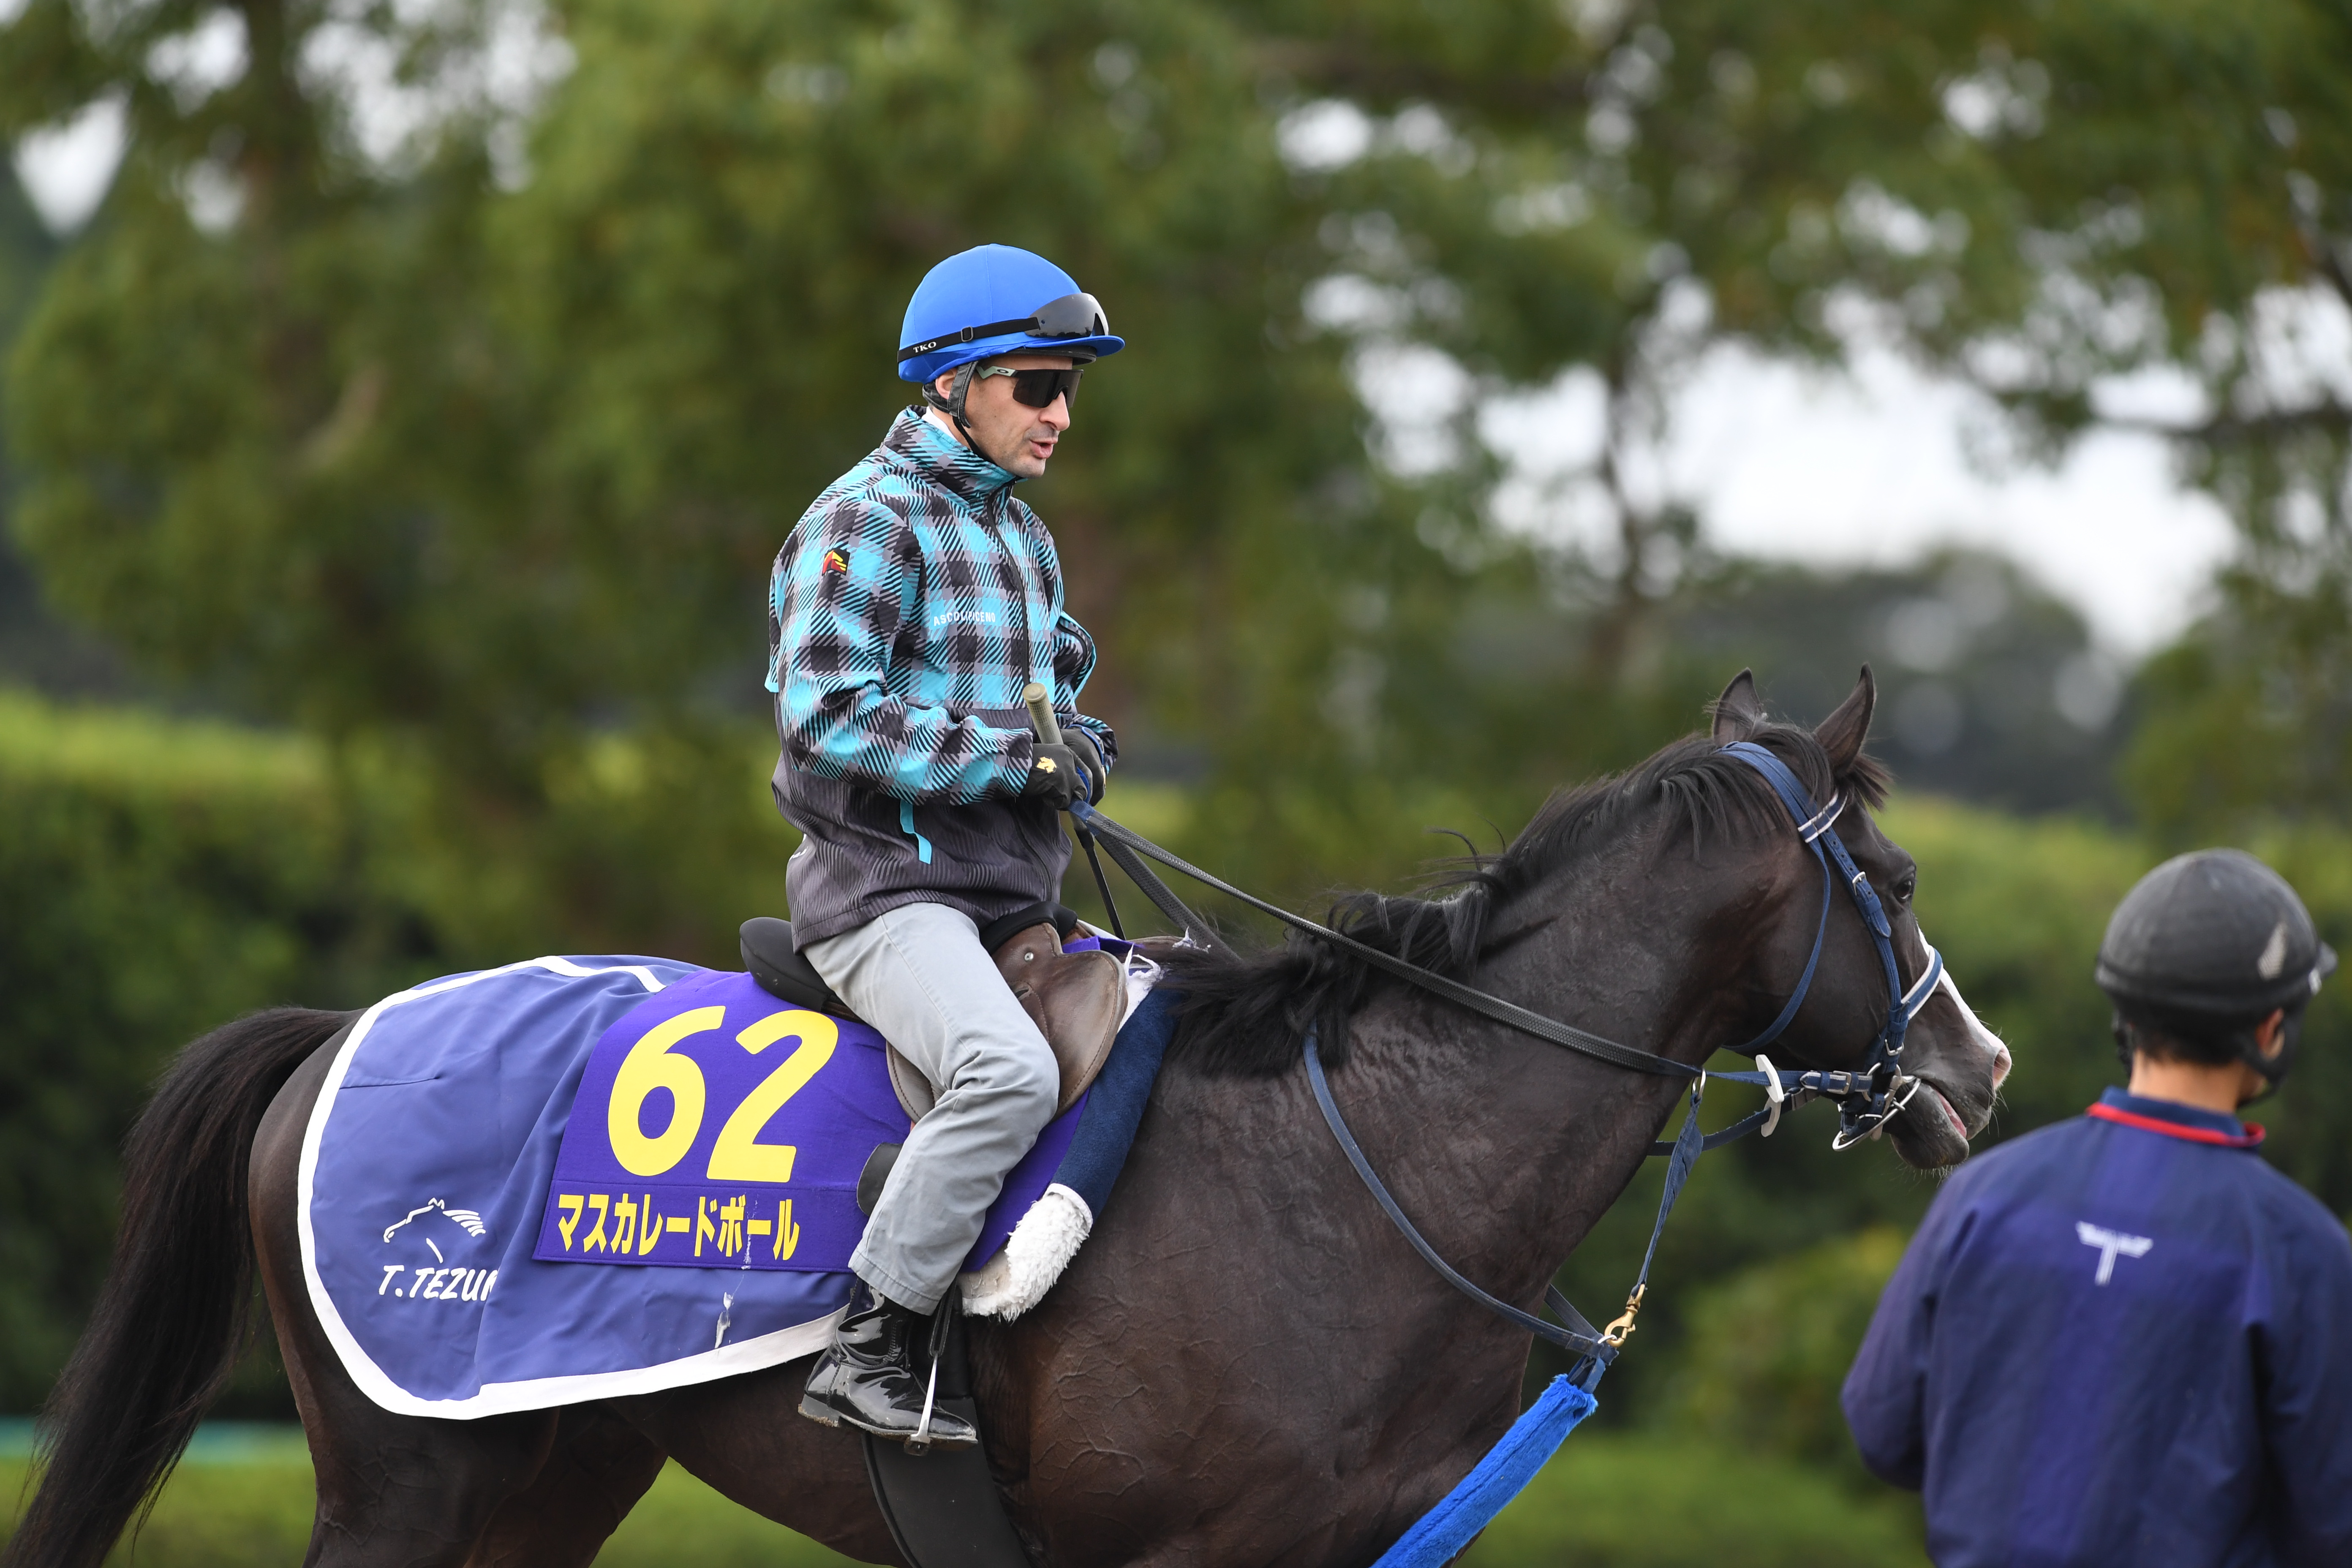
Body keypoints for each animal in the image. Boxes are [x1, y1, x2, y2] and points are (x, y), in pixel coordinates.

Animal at [8, 669, 2011, 1568]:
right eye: (1902, 877)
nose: (1981, 1068)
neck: (1363, 1171)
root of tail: (339, 1030)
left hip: (545, 1470)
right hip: (409, 1476)